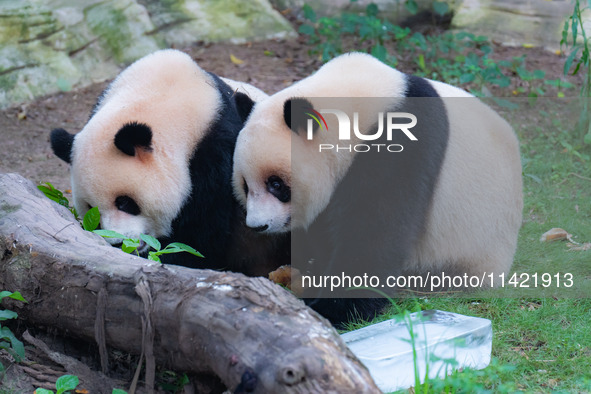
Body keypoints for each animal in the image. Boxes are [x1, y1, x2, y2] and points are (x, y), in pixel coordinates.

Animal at [234, 51, 524, 326]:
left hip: (467, 247)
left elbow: (375, 229)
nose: (258, 225)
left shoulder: (400, 145)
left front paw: (332, 308)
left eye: (275, 184)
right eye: (246, 186)